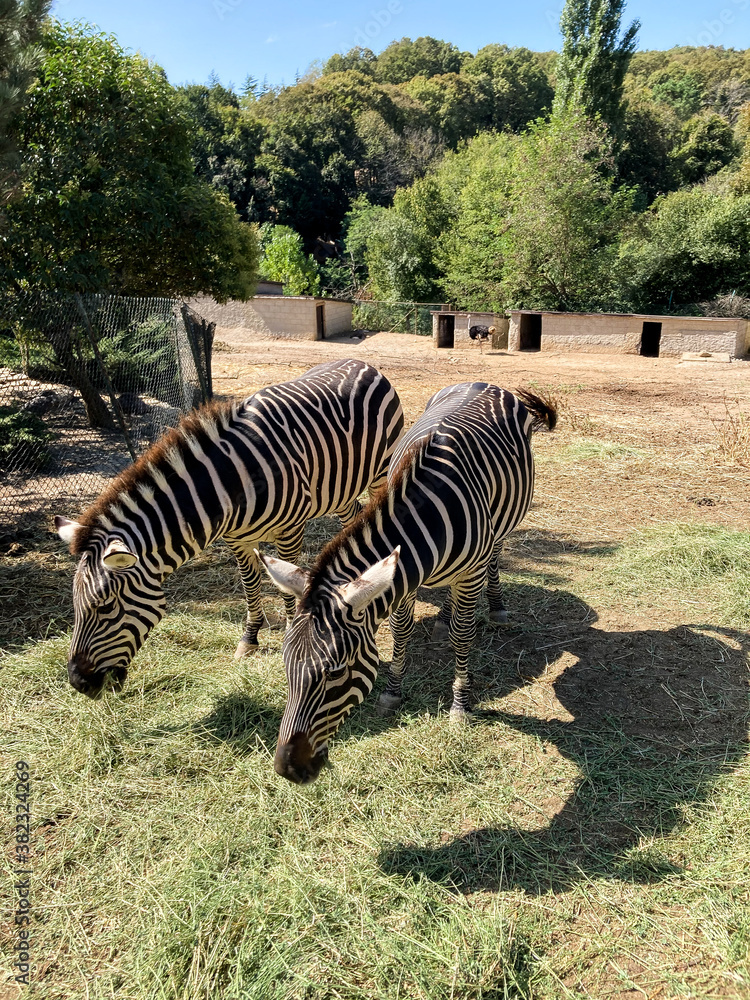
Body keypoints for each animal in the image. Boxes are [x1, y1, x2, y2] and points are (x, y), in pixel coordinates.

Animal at [55, 359, 404, 698]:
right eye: (74, 604)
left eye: (104, 607)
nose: (78, 683)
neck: (230, 485)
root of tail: (361, 362)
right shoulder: (236, 539)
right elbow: (250, 586)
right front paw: (249, 639)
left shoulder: (289, 531)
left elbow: (285, 588)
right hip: (339, 486)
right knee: (351, 514)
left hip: (380, 472)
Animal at [260, 383, 556, 784]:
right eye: (286, 664)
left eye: (336, 672)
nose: (287, 769)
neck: (427, 516)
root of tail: (483, 384)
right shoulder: (404, 578)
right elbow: (401, 631)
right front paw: (393, 692)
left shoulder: (461, 572)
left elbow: (463, 636)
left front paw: (460, 704)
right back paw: (445, 615)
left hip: (503, 524)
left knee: (495, 554)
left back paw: (495, 607)